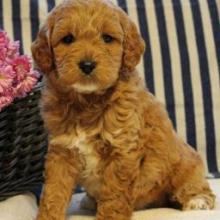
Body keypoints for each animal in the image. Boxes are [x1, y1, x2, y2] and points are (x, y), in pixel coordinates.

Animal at [31, 0, 216, 220]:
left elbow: (114, 195)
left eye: (107, 38)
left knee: (197, 187)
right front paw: (48, 216)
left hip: (185, 166)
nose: (87, 64)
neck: (87, 101)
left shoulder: (122, 150)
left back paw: (197, 201)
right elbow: (54, 192)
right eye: (67, 39)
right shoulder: (62, 150)